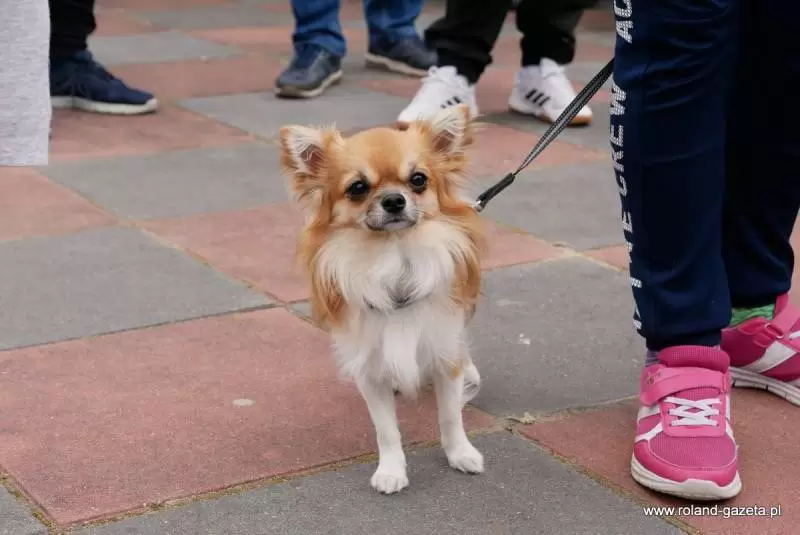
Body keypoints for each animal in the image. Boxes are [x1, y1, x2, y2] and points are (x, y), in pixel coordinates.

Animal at [279, 104, 486, 494]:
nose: (394, 200)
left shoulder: (444, 352)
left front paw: (460, 454)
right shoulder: (370, 368)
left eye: (418, 180)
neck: (394, 258)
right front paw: (391, 471)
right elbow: (386, 430)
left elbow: (450, 415)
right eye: (357, 188)